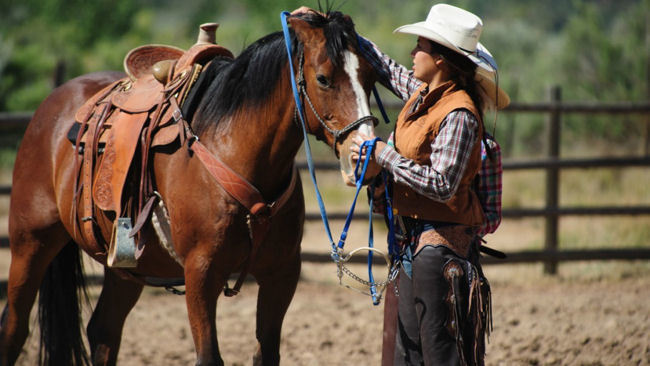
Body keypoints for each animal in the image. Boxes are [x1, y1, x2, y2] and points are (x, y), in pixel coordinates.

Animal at [0, 10, 382, 364]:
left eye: (371, 75)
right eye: (323, 79)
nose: (366, 155)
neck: (234, 152)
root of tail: (52, 104)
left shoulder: (282, 274)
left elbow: (266, 354)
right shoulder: (201, 274)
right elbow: (209, 355)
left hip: (125, 269)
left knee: (103, 332)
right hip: (30, 243)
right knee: (14, 328)